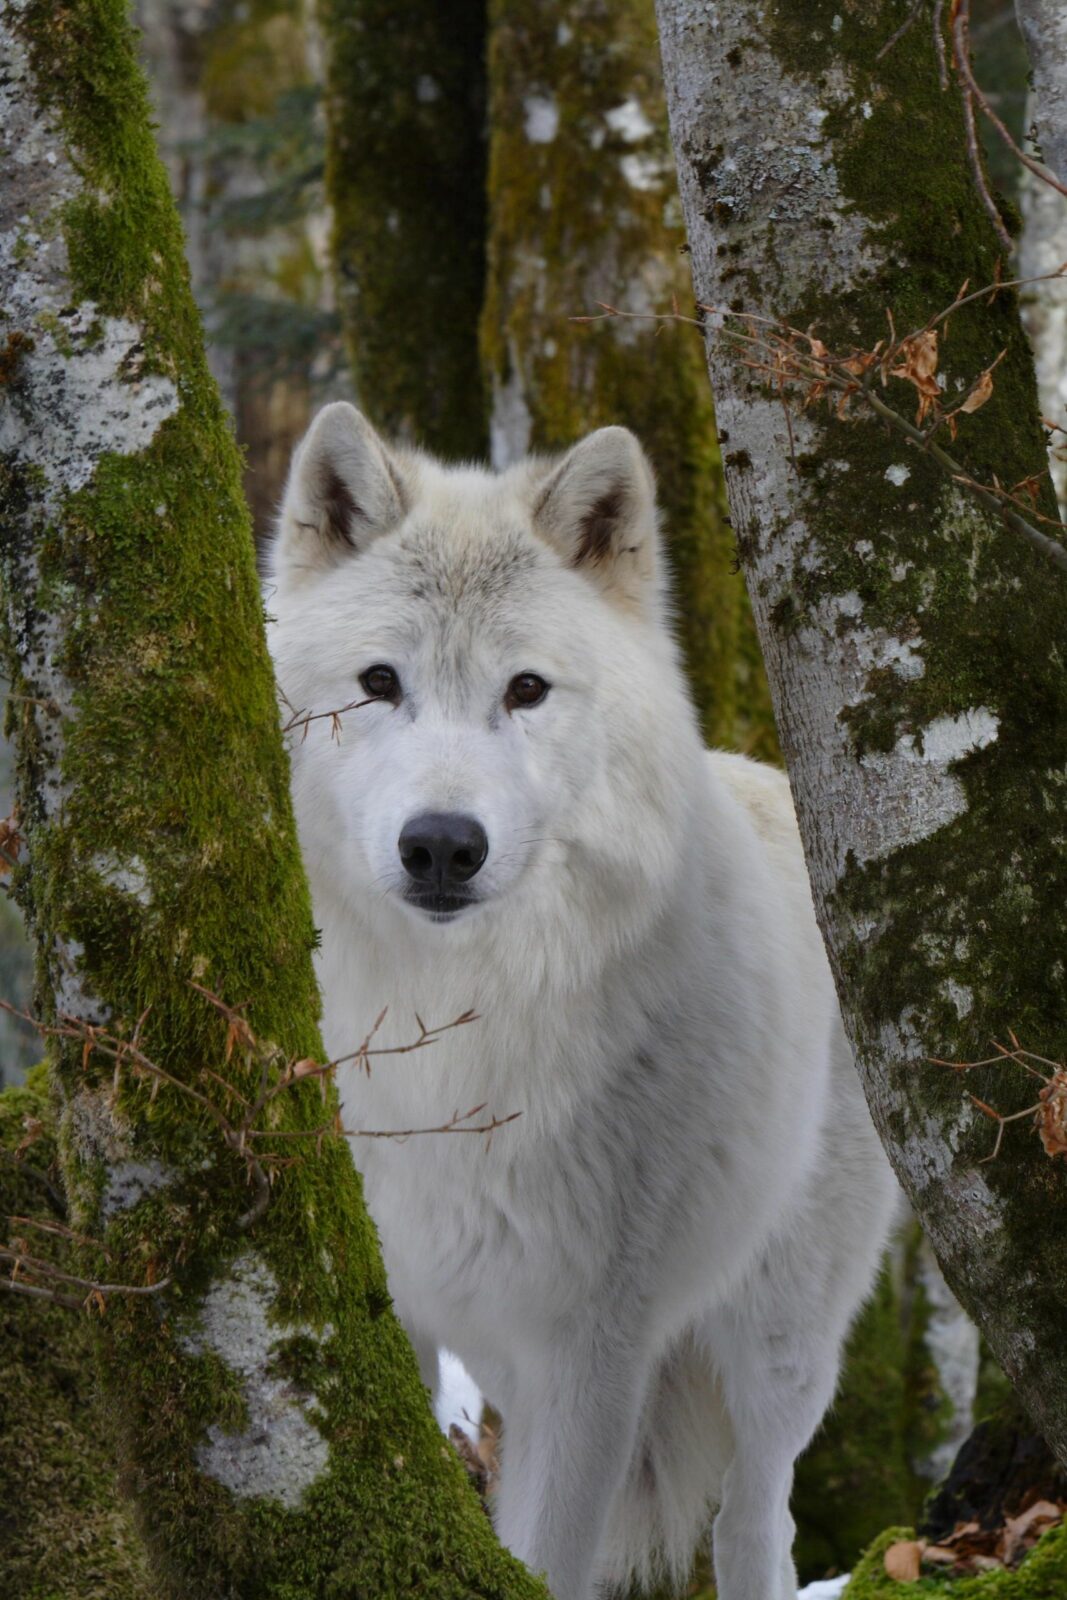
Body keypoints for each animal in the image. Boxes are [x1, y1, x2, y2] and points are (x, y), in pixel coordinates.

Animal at [268, 403, 902, 1600]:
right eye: (379, 683)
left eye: (525, 689)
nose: (440, 844)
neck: (448, 1031)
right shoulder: (399, 1309)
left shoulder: (591, 1348)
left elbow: (551, 1560)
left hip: (776, 1342)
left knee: (756, 1521)